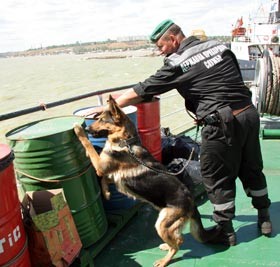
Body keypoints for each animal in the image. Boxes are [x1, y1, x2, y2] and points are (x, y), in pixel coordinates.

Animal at [74, 96, 217, 267]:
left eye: (101, 119)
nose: (88, 129)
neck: (126, 141)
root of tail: (191, 202)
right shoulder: (109, 172)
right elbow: (104, 179)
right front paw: (107, 193)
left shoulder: (101, 166)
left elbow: (89, 146)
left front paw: (78, 130)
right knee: (178, 239)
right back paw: (166, 246)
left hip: (161, 224)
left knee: (178, 242)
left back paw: (164, 260)